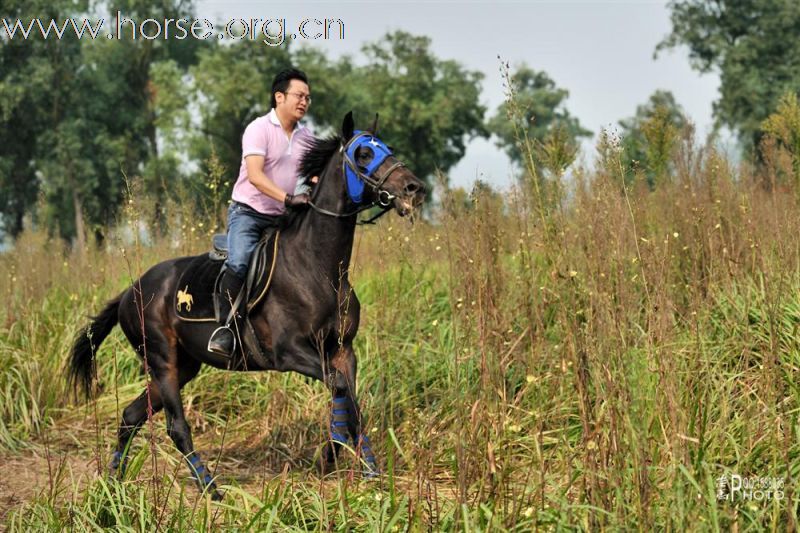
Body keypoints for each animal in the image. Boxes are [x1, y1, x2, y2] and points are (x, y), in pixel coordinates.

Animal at [68, 112, 428, 498]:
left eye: (386, 147)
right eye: (363, 154)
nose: (414, 188)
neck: (318, 266)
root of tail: (129, 291)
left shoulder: (343, 350)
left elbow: (351, 402)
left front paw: (366, 469)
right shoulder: (291, 352)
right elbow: (341, 390)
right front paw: (330, 455)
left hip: (183, 366)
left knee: (130, 417)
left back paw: (113, 482)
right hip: (162, 361)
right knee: (176, 427)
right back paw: (211, 488)